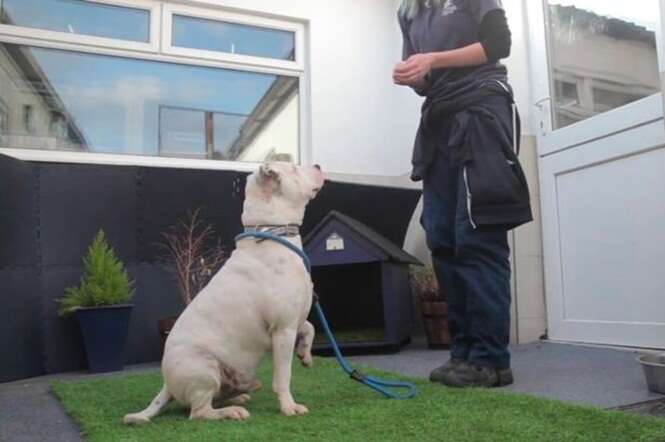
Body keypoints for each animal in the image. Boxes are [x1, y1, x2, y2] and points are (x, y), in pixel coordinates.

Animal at [124, 162, 324, 424]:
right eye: (294, 168)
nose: (318, 165)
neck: (273, 234)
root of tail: (166, 384)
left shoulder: (294, 320)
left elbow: (310, 327)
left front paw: (305, 354)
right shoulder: (283, 329)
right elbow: (283, 376)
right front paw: (289, 407)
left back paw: (237, 400)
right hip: (205, 368)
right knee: (199, 412)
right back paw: (232, 412)